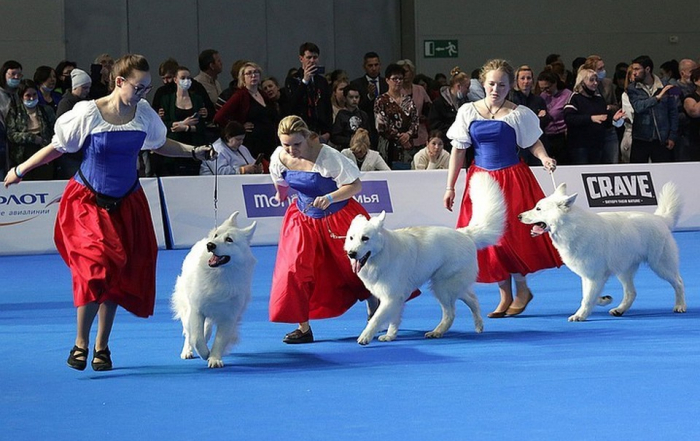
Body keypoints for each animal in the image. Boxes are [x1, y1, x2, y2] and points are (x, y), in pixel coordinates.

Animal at [170, 211, 258, 366]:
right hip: (188, 308)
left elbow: (219, 340)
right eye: (216, 235)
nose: (210, 245)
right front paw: (205, 353)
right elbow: (197, 338)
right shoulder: (197, 311)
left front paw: (214, 358)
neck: (219, 275)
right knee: (189, 333)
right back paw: (187, 351)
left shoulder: (229, 317)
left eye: (229, 239)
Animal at [344, 172, 504, 344]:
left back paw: (437, 332)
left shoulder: (391, 297)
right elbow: (394, 319)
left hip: (442, 286)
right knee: (472, 299)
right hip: (447, 286)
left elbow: (376, 319)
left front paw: (365, 336)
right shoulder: (396, 298)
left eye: (365, 238)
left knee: (451, 312)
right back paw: (477, 325)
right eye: (351, 238)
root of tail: (465, 234)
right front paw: (390, 335)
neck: (382, 253)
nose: (351, 253)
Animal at [516, 180, 688, 322]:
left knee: (678, 282)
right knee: (631, 293)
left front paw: (580, 315)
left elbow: (586, 298)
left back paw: (680, 306)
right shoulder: (588, 276)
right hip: (624, 271)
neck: (571, 227)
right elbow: (587, 295)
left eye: (538, 209)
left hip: (661, 266)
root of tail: (660, 219)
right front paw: (604, 299)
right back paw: (619, 310)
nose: (518, 216)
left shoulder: (594, 276)